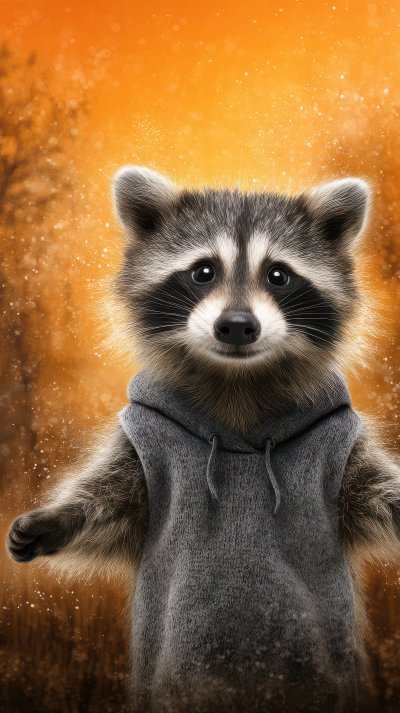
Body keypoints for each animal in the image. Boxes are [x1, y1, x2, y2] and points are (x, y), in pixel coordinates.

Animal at [7, 167, 400, 713]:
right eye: (203, 272)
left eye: (279, 275)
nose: (236, 326)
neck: (238, 387)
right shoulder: (142, 441)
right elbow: (111, 503)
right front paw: (62, 516)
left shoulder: (340, 447)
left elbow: (373, 493)